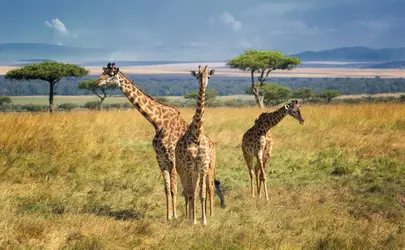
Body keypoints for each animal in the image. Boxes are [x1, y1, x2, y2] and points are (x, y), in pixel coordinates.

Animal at [175, 65, 216, 226]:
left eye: (208, 76)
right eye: (198, 76)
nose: (203, 84)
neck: (197, 135)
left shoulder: (202, 166)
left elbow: (202, 193)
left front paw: (203, 220)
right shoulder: (189, 166)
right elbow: (191, 192)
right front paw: (193, 221)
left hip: (196, 171)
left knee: (193, 191)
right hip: (182, 169)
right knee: (187, 192)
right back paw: (189, 216)